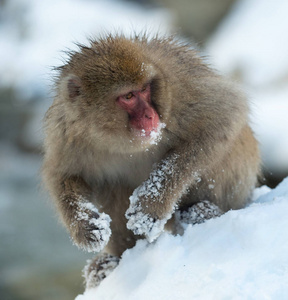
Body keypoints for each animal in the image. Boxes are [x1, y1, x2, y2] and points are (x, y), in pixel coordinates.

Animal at [42, 33, 260, 288]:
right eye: (128, 96)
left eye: (145, 90)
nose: (150, 115)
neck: (115, 138)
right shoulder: (66, 132)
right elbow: (64, 175)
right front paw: (85, 226)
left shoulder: (180, 89)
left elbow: (224, 117)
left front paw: (150, 205)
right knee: (111, 185)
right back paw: (110, 263)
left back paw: (204, 212)